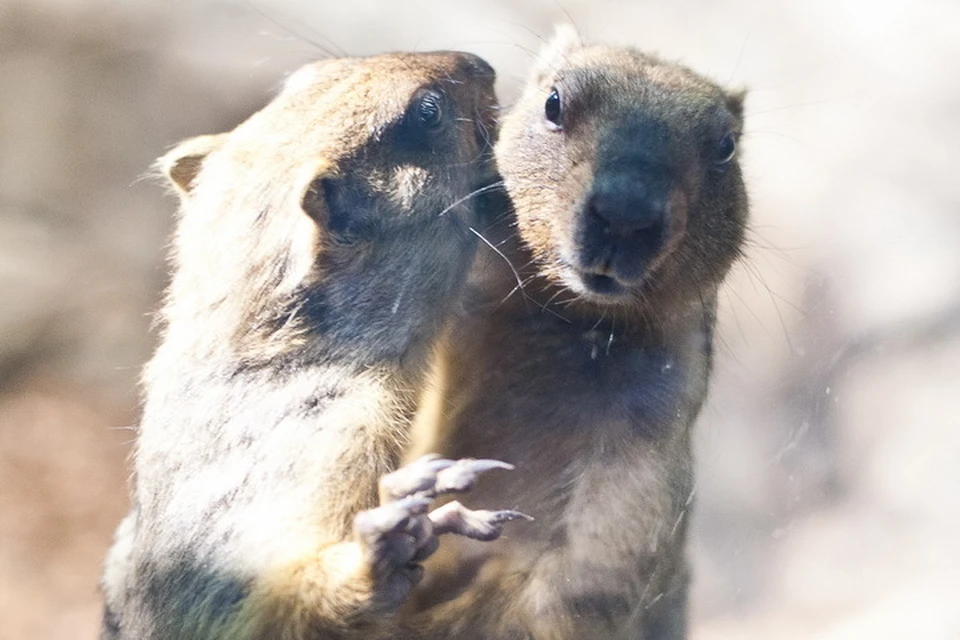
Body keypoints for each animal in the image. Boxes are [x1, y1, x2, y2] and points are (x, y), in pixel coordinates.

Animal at [404, 27, 752, 636]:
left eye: (726, 147)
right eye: (553, 103)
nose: (626, 213)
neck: (568, 321)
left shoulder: (640, 471)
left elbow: (570, 587)